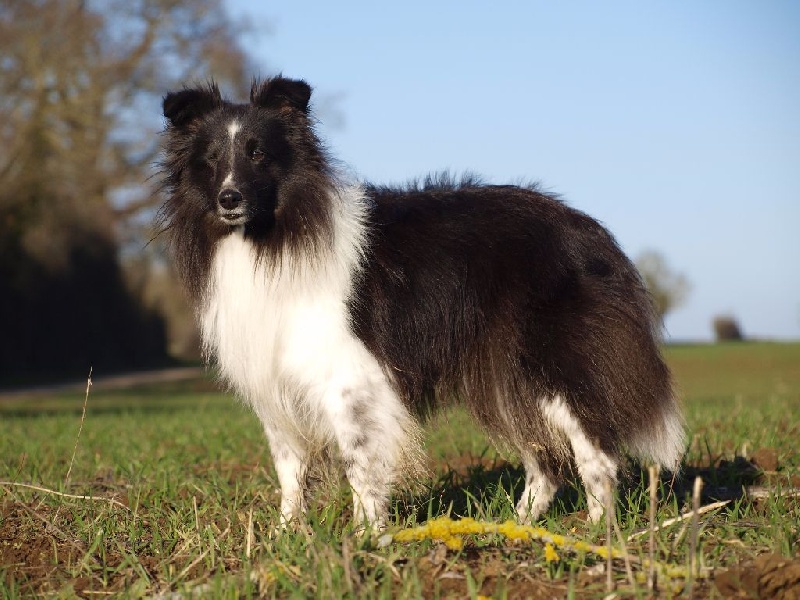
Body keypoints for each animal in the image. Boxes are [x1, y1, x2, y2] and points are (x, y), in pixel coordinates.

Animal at [159, 76, 684, 528]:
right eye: (209, 160)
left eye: (259, 154)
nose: (229, 199)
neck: (269, 237)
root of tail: (591, 231)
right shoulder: (276, 384)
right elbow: (290, 471)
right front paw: (287, 539)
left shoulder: (350, 380)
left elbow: (359, 466)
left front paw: (365, 540)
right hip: (502, 377)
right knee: (545, 466)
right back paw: (512, 528)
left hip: (550, 365)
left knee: (596, 454)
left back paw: (596, 534)